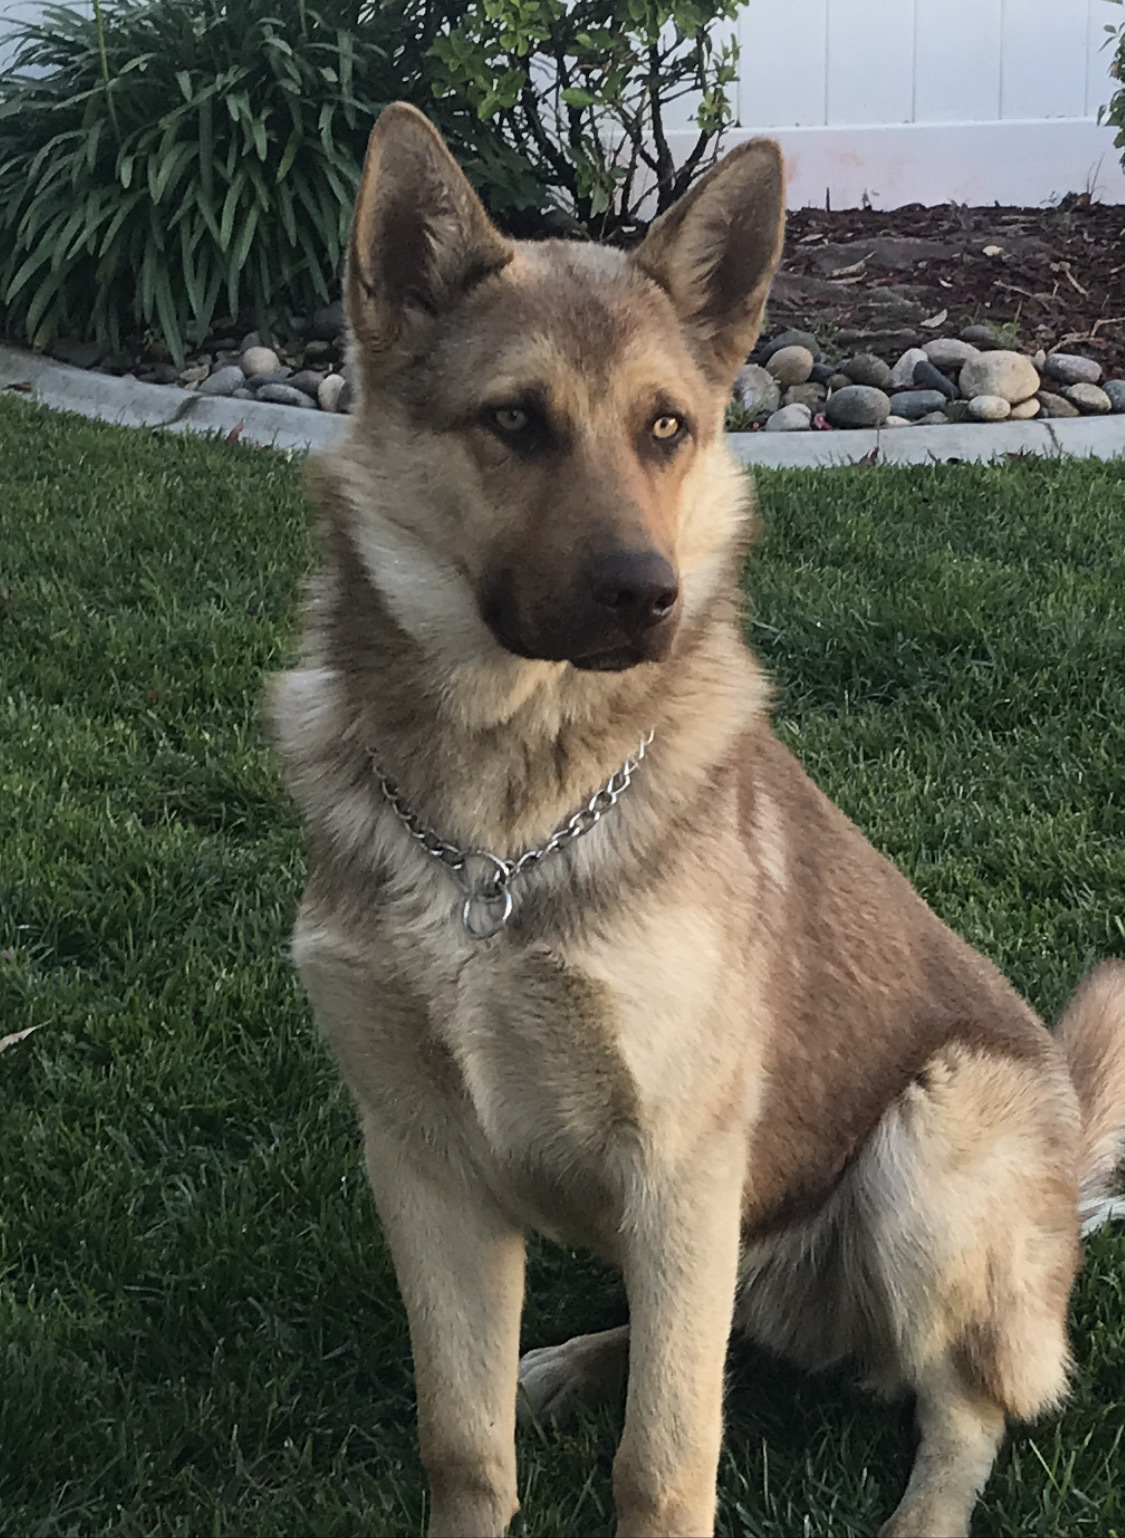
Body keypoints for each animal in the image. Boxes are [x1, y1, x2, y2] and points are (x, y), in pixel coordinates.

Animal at [270, 108, 1125, 1538]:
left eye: (666, 427)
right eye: (515, 420)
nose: (646, 595)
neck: (503, 826)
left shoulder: (677, 1164)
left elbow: (663, 1460)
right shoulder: (428, 1169)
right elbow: (465, 1439)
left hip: (932, 1137)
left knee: (964, 1404)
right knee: (720, 1328)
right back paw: (569, 1357)